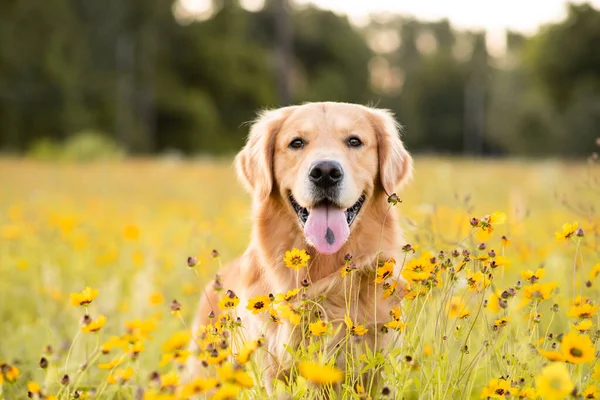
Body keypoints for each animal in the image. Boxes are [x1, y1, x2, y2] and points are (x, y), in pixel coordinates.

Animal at [188, 101, 412, 392]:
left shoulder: (378, 367)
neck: (327, 279)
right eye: (296, 143)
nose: (325, 172)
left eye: (354, 141)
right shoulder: (272, 372)